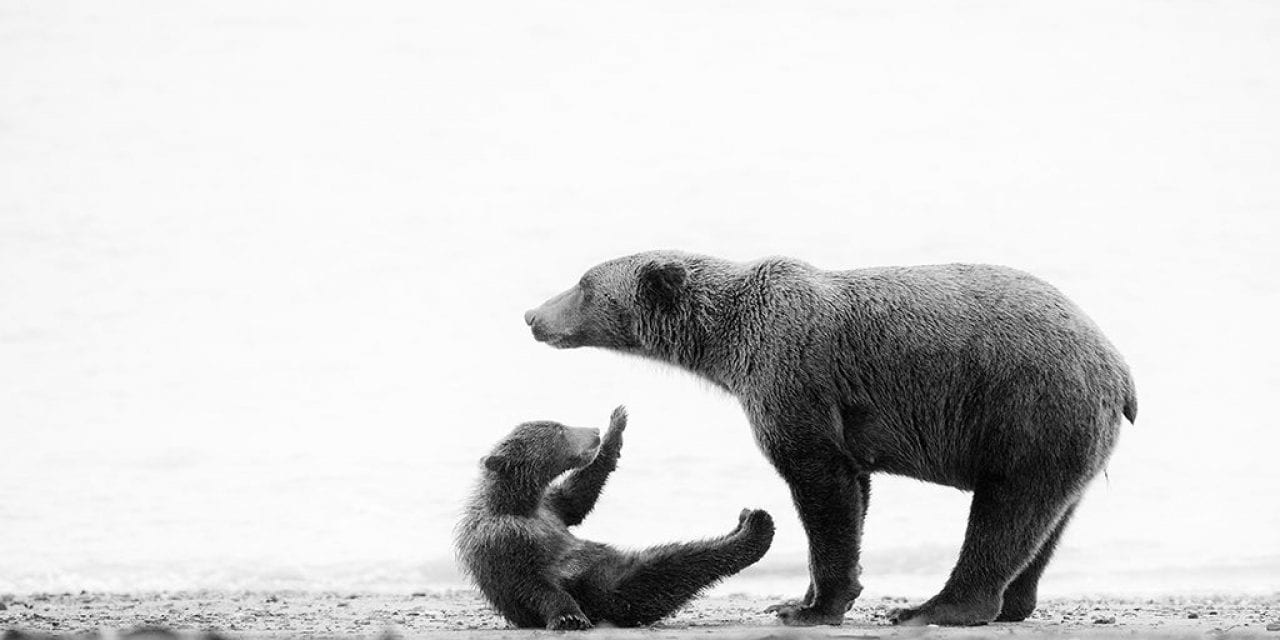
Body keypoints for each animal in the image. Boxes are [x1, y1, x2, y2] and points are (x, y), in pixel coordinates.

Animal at [524, 249, 1136, 624]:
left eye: (583, 285)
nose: (532, 315)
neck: (725, 346)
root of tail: (1120, 369)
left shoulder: (794, 381)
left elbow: (822, 489)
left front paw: (813, 606)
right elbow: (853, 492)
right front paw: (800, 599)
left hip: (1025, 410)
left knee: (1005, 512)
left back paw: (933, 607)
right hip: (1070, 434)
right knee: (1048, 520)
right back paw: (1014, 602)